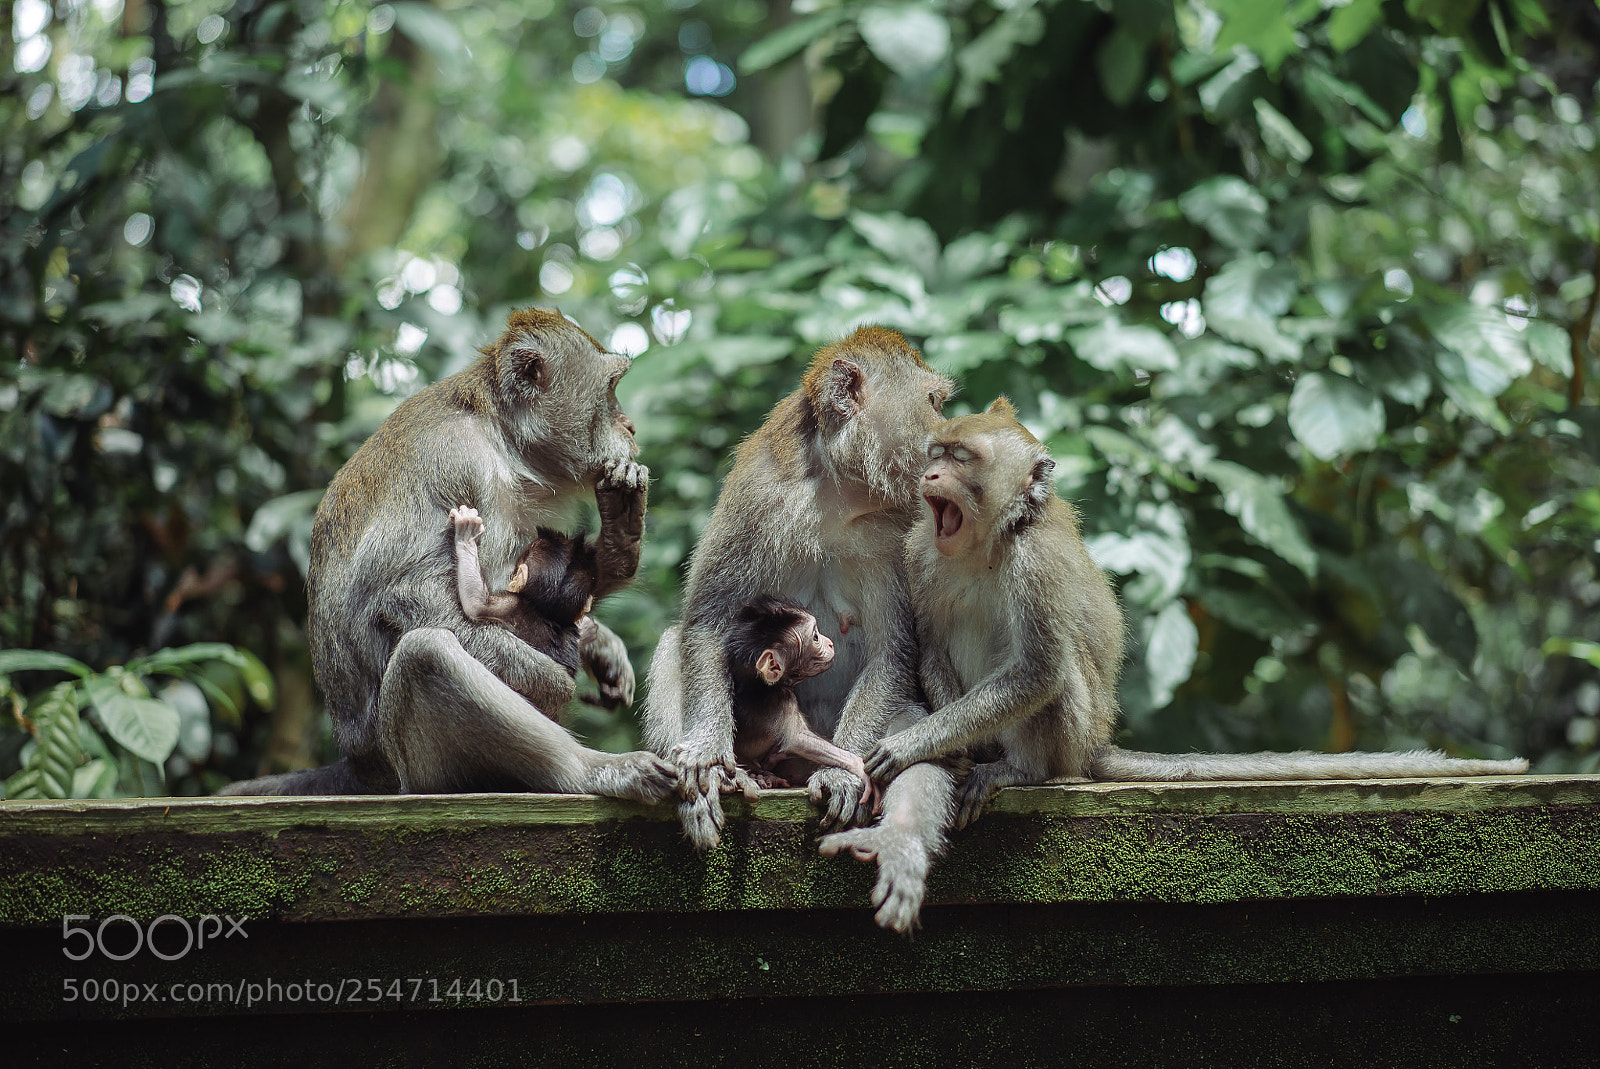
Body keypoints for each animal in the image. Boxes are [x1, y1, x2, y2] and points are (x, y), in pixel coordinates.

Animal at [219, 308, 674, 800]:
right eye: (610, 390)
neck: (502, 436)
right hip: (418, 768)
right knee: (426, 654)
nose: (630, 426)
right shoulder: (458, 462)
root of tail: (362, 767)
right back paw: (587, 770)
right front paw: (553, 677)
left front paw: (619, 545)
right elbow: (413, 596)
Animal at [724, 595, 879, 808]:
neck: (757, 684)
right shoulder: (782, 699)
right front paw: (858, 766)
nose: (830, 644)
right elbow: (799, 739)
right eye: (815, 637)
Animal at [821, 397, 1530, 932]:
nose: (929, 480)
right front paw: (944, 744)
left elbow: (1039, 671)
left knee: (1058, 681)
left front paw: (915, 744)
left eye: (961, 459)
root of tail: (1091, 748)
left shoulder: (1034, 565)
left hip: (1071, 735)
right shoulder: (921, 553)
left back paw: (1020, 771)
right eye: (936, 453)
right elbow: (933, 653)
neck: (983, 546)